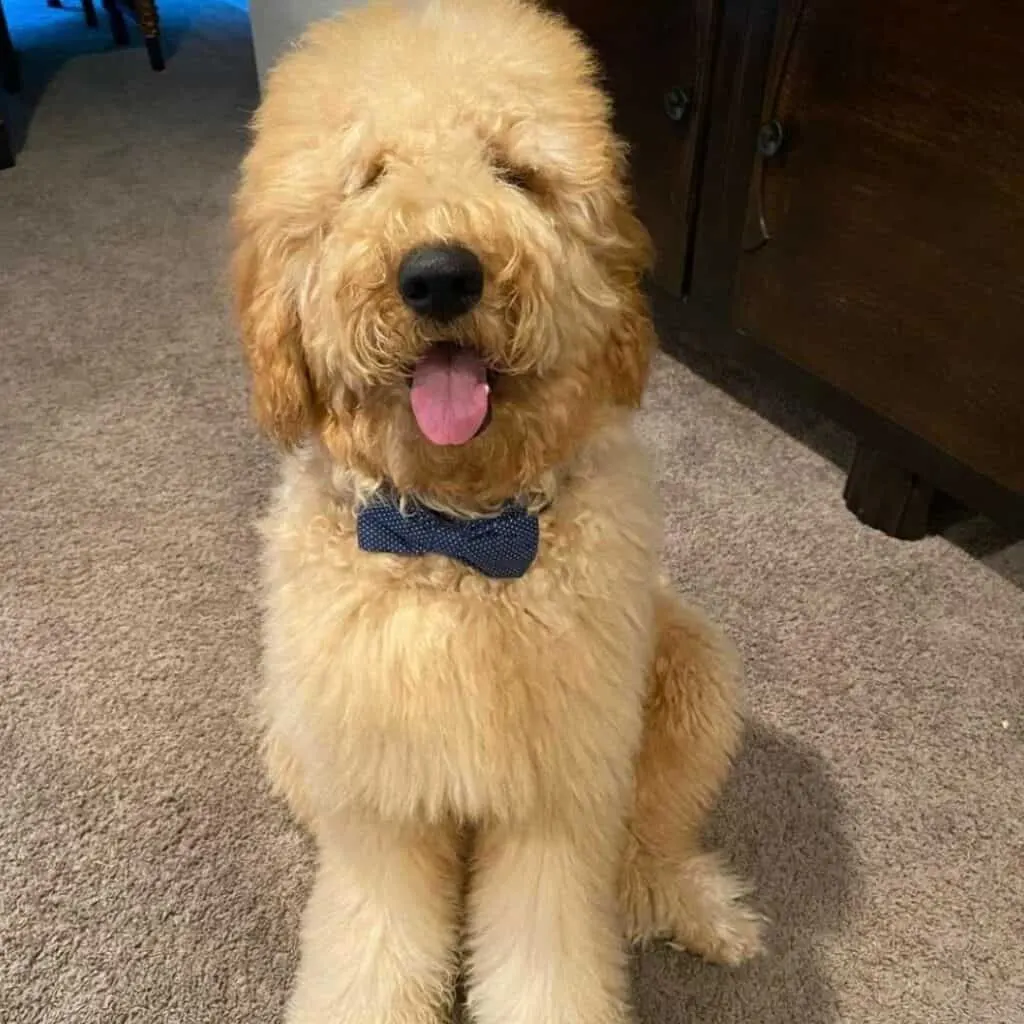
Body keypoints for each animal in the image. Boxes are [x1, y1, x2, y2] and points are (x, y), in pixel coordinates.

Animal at [230, 4, 761, 1019]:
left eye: (514, 171)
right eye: (371, 174)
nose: (441, 274)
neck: (459, 539)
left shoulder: (558, 799)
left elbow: (549, 954)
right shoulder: (383, 803)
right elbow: (375, 945)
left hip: (687, 672)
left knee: (646, 841)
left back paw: (693, 904)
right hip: (290, 728)